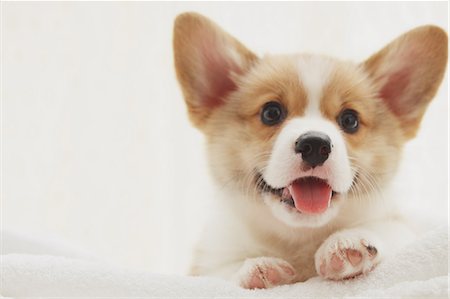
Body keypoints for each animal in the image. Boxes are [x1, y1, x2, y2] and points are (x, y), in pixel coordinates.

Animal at [171, 12, 446, 290]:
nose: (314, 145)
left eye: (350, 120)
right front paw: (254, 268)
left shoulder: (403, 228)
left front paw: (349, 241)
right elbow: (219, 273)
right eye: (271, 112)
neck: (299, 238)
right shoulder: (207, 260)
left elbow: (390, 230)